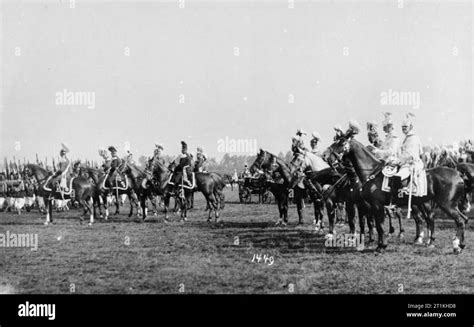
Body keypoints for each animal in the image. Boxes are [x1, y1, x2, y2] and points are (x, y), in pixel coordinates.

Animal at [324, 133, 468, 254]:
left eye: (341, 143)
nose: (325, 155)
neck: (372, 172)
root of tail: (458, 174)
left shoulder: (375, 205)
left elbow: (379, 226)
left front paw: (381, 246)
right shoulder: (373, 206)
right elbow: (377, 225)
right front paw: (379, 244)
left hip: (445, 205)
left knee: (458, 221)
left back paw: (455, 246)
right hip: (448, 205)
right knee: (462, 219)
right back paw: (460, 244)